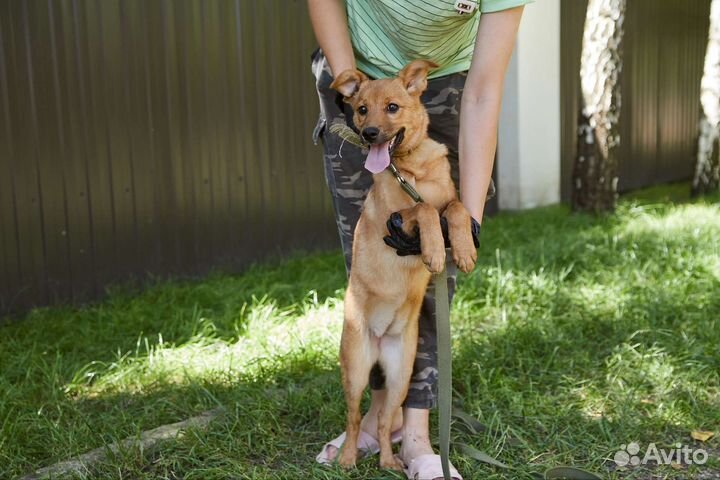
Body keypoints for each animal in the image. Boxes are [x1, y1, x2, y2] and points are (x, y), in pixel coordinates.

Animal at [332, 59, 478, 468]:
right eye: (362, 108)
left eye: (393, 107)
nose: (368, 134)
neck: (412, 169)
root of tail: (380, 340)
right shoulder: (394, 218)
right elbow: (424, 209)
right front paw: (433, 250)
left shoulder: (449, 199)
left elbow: (455, 209)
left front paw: (463, 249)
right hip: (356, 371)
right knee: (354, 418)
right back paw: (347, 458)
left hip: (401, 375)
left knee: (385, 421)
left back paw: (389, 461)